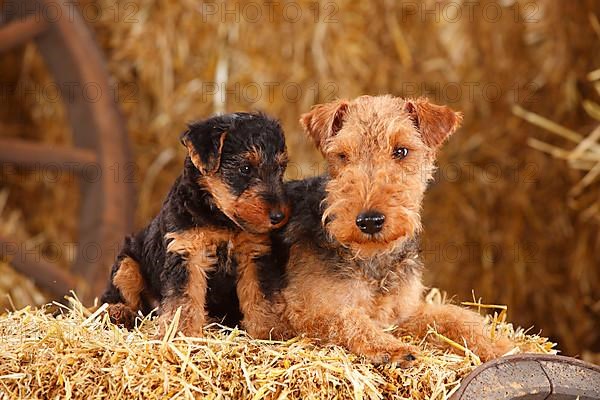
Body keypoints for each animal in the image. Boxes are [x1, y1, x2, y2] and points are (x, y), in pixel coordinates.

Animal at [100, 113, 288, 338]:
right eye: (245, 168)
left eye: (281, 169)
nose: (278, 216)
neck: (222, 219)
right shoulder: (188, 253)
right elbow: (184, 300)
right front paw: (181, 333)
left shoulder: (254, 255)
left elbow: (261, 297)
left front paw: (269, 332)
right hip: (127, 265)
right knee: (115, 298)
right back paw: (118, 313)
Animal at [241, 96, 512, 366]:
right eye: (342, 155)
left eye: (401, 151)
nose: (370, 221)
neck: (374, 262)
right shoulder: (304, 309)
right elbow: (349, 318)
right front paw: (392, 348)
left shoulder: (401, 313)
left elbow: (455, 317)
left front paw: (499, 347)